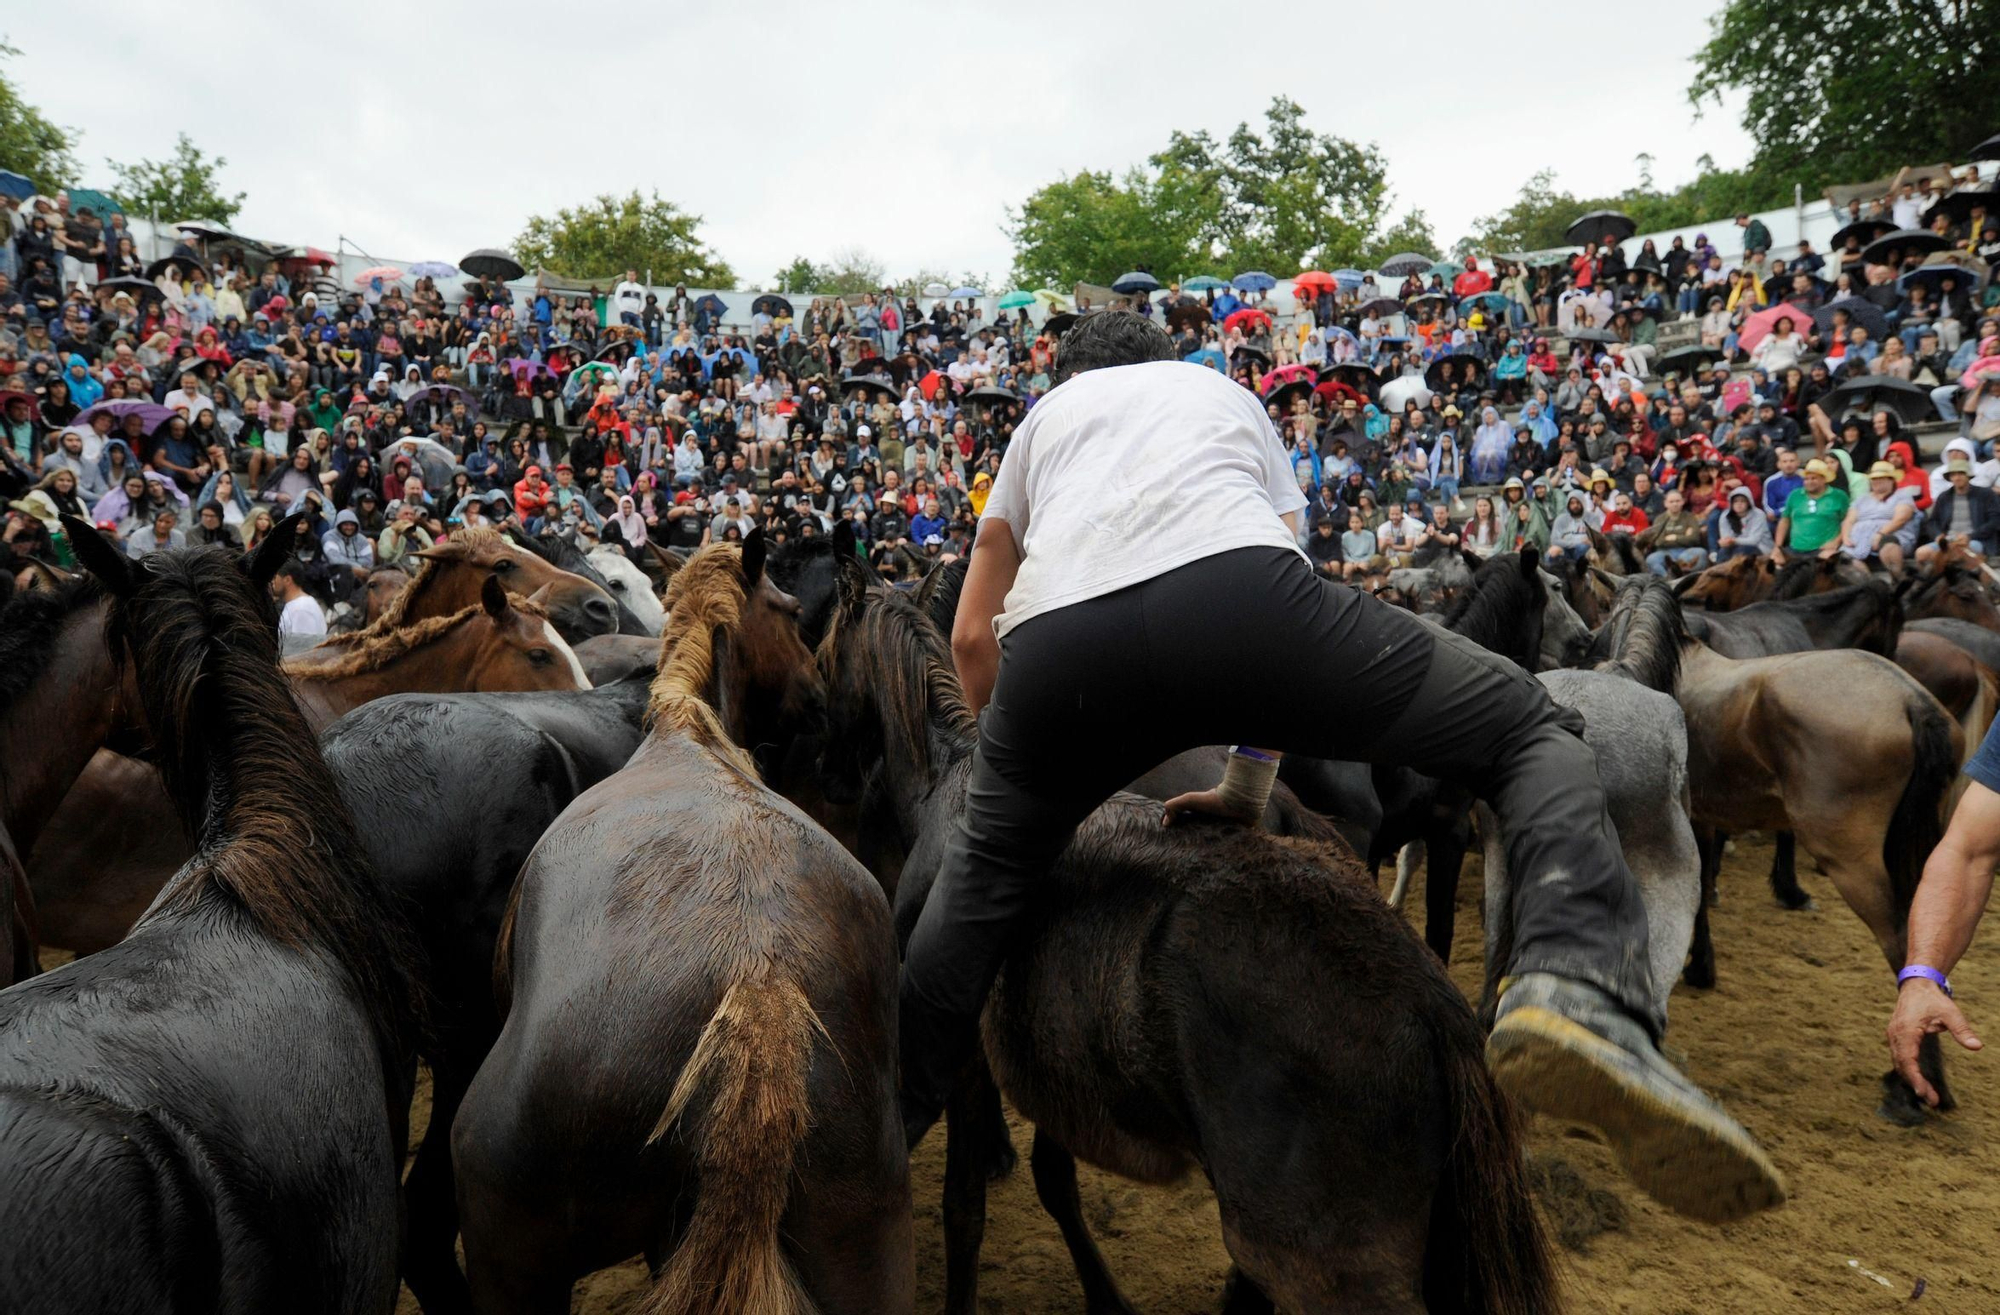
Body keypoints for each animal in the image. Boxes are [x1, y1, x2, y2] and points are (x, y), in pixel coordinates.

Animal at [450, 535, 912, 1311]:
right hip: (862, 1248)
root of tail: (760, 990)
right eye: (790, 609)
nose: (818, 695)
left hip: (508, 1262)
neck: (684, 730)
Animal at [816, 567, 1560, 1311]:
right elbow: (1051, 1177)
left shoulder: (971, 1056)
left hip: (1326, 1258)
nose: (827, 773)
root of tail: (1430, 1003)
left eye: (822, 655)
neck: (946, 784)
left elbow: (966, 1205)